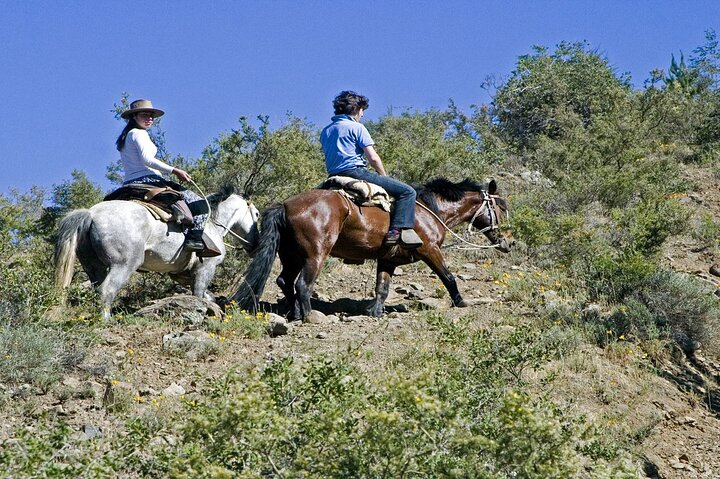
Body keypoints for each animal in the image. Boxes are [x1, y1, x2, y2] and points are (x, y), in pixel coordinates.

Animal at [54, 187, 260, 319]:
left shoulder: (183, 274)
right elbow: (200, 295)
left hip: (95, 267)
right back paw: (107, 321)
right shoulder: (205, 268)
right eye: (257, 214)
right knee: (107, 290)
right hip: (124, 265)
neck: (212, 223)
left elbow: (208, 296)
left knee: (98, 290)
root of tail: (91, 214)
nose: (255, 246)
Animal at [232, 178, 513, 320]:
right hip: (315, 254)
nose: (508, 242)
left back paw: (295, 313)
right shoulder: (430, 250)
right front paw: (461, 301)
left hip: (291, 256)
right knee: (303, 284)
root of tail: (285, 205)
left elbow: (382, 288)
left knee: (284, 281)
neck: (430, 211)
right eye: (500, 207)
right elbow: (448, 276)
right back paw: (309, 316)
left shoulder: (388, 261)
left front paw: (376, 312)